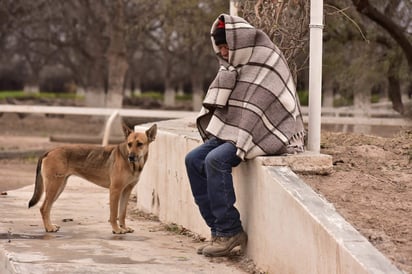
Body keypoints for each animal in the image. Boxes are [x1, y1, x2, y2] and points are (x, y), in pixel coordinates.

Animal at [27, 123, 156, 233]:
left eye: (140, 144)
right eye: (129, 144)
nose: (131, 157)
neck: (132, 164)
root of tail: (50, 150)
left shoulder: (126, 191)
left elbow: (122, 213)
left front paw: (124, 227)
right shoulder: (115, 190)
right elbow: (114, 214)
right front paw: (116, 229)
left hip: (59, 187)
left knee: (47, 208)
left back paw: (50, 225)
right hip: (54, 186)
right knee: (44, 208)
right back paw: (49, 228)